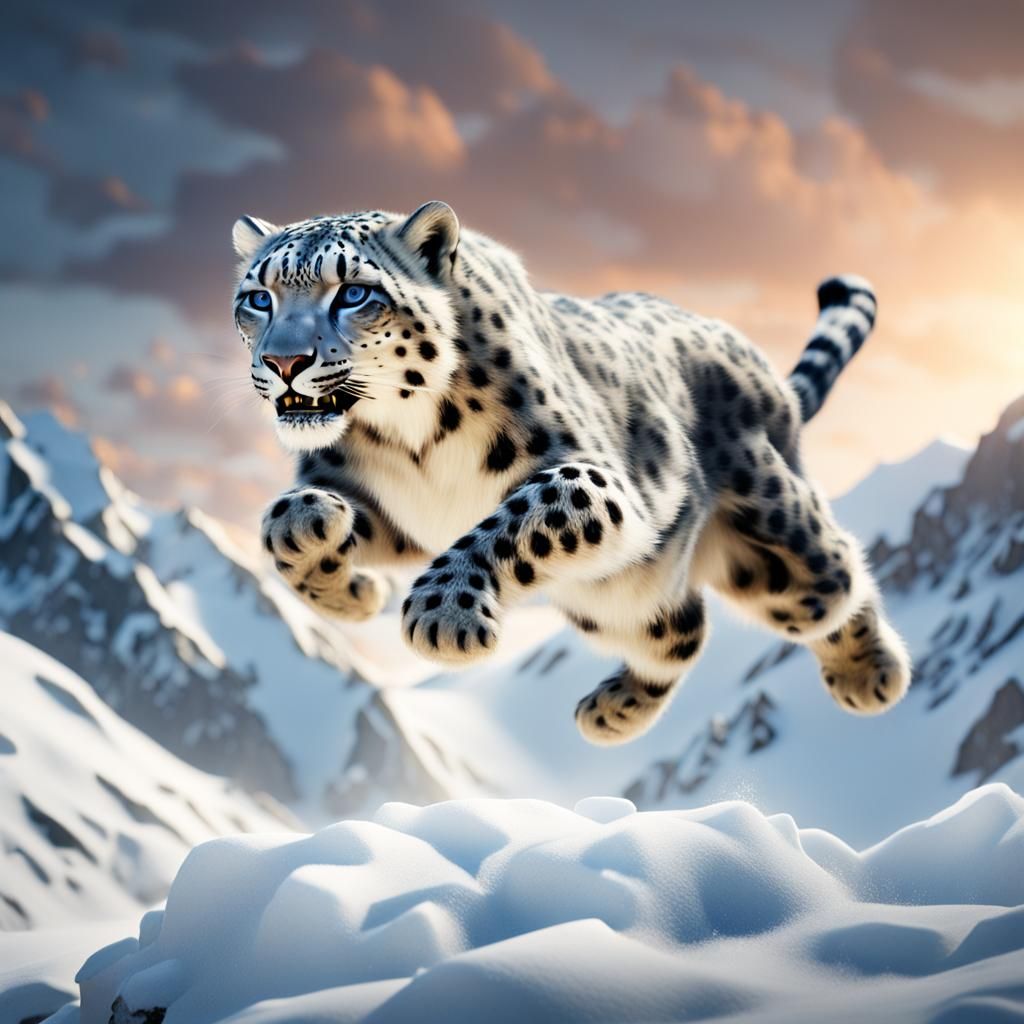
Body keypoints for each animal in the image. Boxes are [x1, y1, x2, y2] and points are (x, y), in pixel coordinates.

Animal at [232, 200, 911, 746]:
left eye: (353, 293)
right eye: (258, 298)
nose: (284, 361)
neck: (406, 437)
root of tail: (768, 378)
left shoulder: (594, 476)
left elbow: (517, 513)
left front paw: (444, 614)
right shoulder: (404, 518)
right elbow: (281, 516)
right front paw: (345, 581)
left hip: (775, 545)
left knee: (836, 574)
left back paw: (871, 674)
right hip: (621, 598)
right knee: (682, 629)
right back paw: (613, 711)